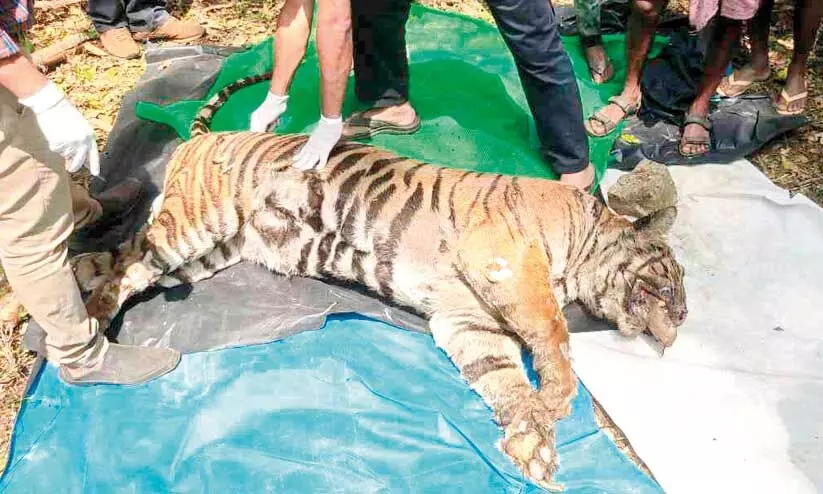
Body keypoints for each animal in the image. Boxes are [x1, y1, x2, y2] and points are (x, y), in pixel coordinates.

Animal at [75, 73, 687, 491]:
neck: (585, 244)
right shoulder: (508, 261)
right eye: (672, 283)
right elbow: (554, 333)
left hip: (209, 252)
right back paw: (92, 324)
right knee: (133, 259)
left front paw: (530, 441)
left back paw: (85, 283)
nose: (680, 325)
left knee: (128, 259)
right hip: (199, 222)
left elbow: (501, 376)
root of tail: (203, 137)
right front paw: (557, 400)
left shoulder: (468, 320)